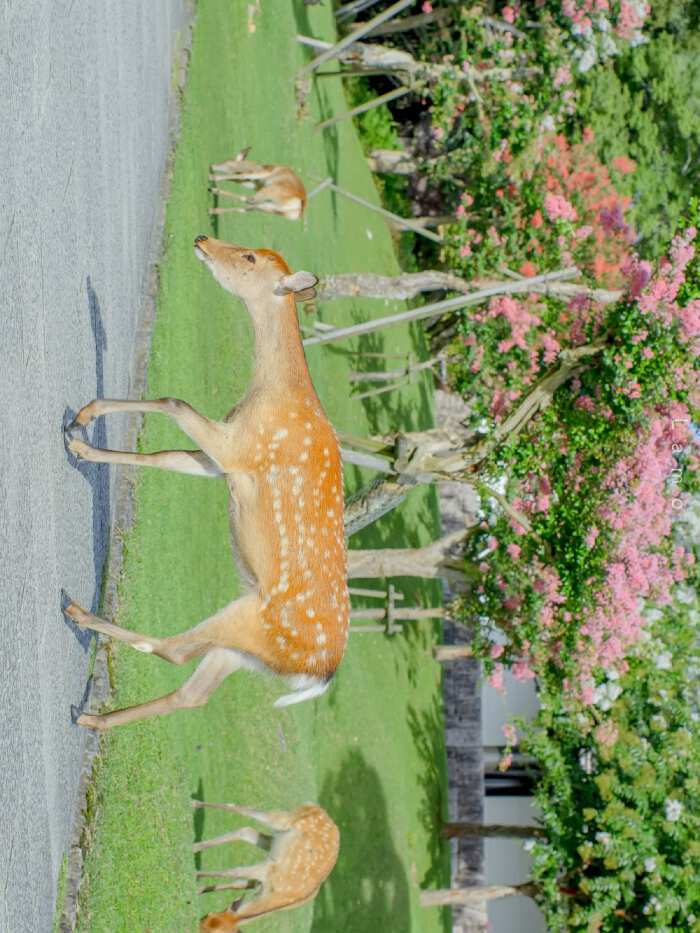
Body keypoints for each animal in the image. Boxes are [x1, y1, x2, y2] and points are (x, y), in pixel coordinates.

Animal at [63, 233, 350, 728]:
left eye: (250, 257)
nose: (203, 239)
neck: (271, 392)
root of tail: (320, 675)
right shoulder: (223, 462)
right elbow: (165, 457)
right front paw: (82, 444)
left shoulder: (240, 450)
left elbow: (173, 401)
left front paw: (85, 416)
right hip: (246, 652)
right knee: (192, 693)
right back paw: (92, 719)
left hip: (250, 620)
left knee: (172, 650)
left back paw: (79, 614)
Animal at [193, 796, 340, 928]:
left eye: (209, 916)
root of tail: (320, 809)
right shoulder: (268, 869)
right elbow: (232, 873)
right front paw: (196, 875)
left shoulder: (260, 880)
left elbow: (235, 883)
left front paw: (199, 889)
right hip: (285, 819)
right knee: (244, 809)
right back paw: (194, 803)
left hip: (273, 840)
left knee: (245, 830)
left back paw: (196, 846)